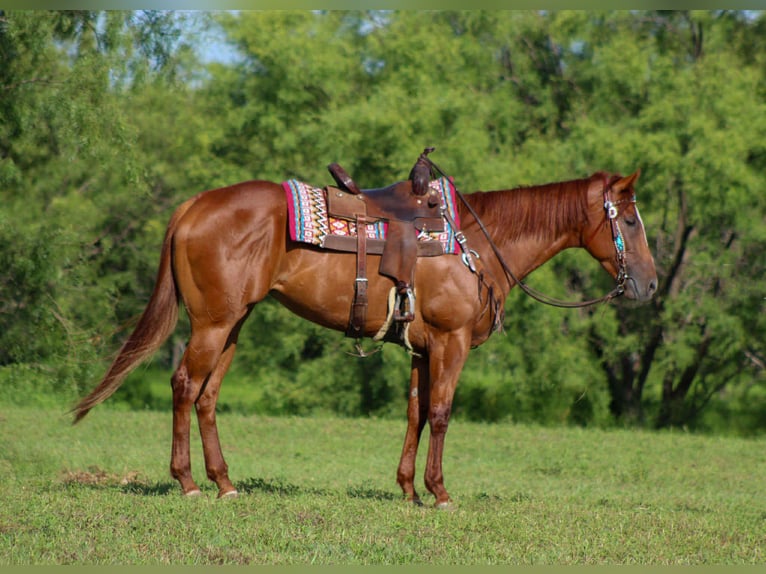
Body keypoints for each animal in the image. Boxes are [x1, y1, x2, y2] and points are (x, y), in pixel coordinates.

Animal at [72, 167, 657, 508]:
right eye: (629, 220)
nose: (649, 284)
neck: (476, 243)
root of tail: (193, 205)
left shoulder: (424, 348)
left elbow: (416, 412)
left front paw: (408, 490)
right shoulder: (451, 343)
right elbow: (440, 413)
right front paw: (439, 492)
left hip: (233, 323)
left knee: (207, 395)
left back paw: (224, 482)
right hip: (213, 324)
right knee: (184, 385)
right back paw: (189, 482)